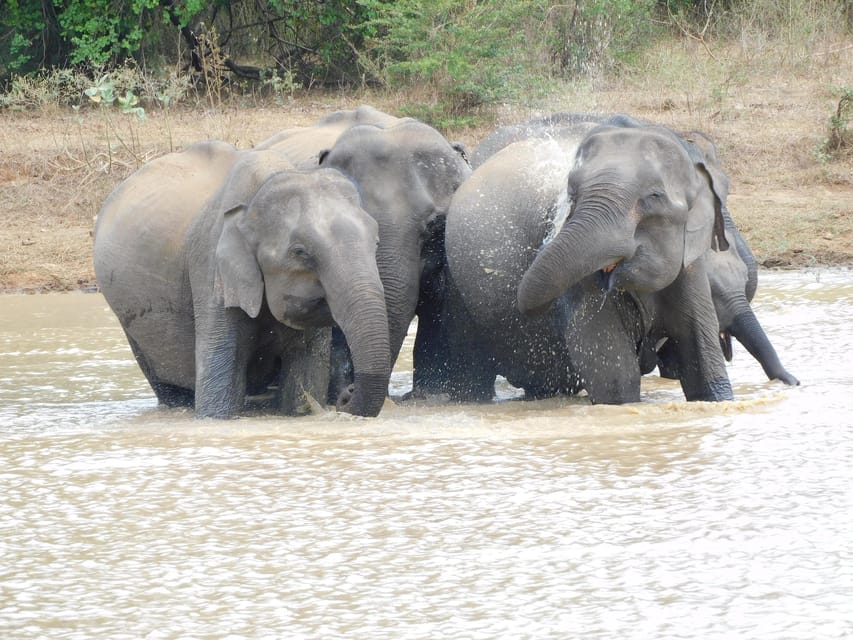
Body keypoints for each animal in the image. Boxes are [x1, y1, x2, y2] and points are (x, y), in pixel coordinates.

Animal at [91, 142, 392, 418]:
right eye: (300, 252)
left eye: (376, 241)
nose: (346, 394)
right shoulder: (210, 268)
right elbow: (217, 395)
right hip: (130, 322)